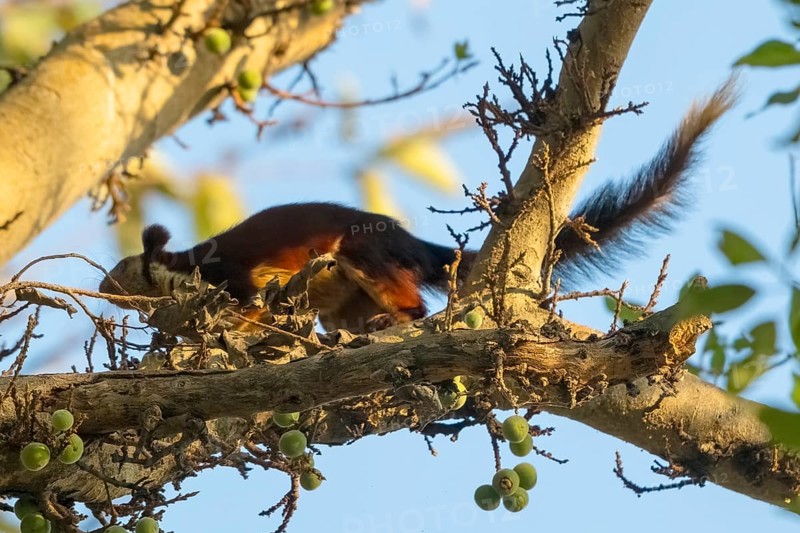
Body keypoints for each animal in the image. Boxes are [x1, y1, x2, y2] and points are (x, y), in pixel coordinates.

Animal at [99, 83, 735, 333]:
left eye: (123, 270)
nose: (102, 288)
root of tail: (406, 241)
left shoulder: (232, 276)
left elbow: (249, 305)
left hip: (362, 253)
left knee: (413, 305)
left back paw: (396, 318)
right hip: (342, 302)